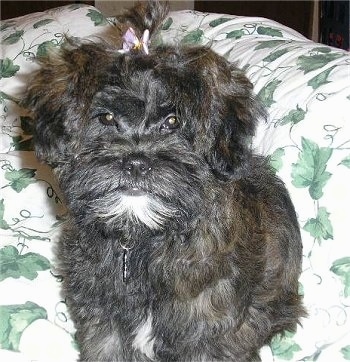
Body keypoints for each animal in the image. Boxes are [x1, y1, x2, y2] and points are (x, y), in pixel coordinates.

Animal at [23, 1, 304, 360]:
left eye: (172, 122)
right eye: (107, 118)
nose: (136, 164)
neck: (141, 237)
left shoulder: (210, 334)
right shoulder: (103, 324)